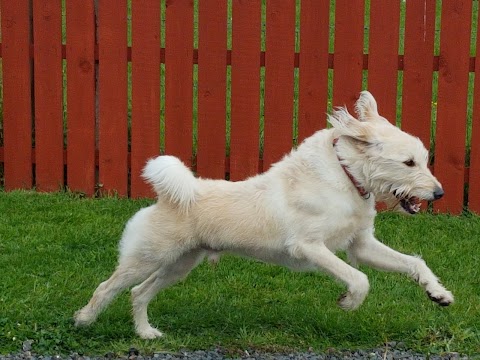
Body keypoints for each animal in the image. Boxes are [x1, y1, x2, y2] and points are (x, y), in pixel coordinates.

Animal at [74, 91, 454, 338]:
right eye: (408, 163)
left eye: (422, 159)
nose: (439, 193)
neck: (345, 177)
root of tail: (172, 196)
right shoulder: (309, 247)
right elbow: (359, 279)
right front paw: (348, 302)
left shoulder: (361, 246)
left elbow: (414, 263)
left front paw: (438, 294)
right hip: (147, 258)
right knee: (108, 287)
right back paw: (83, 320)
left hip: (179, 264)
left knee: (139, 293)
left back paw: (145, 333)